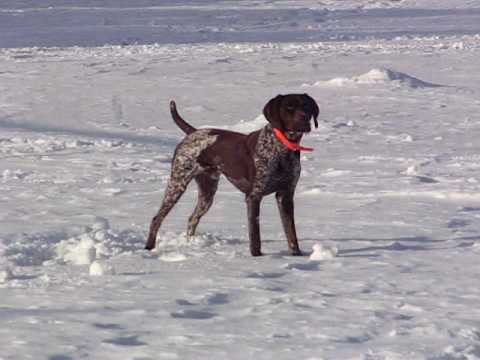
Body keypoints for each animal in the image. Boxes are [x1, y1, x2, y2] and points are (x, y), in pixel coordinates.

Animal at [144, 93, 320, 256]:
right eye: (289, 107)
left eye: (306, 106)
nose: (304, 119)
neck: (282, 148)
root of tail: (193, 132)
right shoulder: (254, 196)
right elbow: (255, 235)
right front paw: (257, 257)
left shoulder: (286, 196)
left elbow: (291, 234)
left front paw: (296, 255)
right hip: (177, 184)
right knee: (156, 219)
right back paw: (149, 248)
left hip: (207, 193)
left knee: (192, 219)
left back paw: (189, 245)